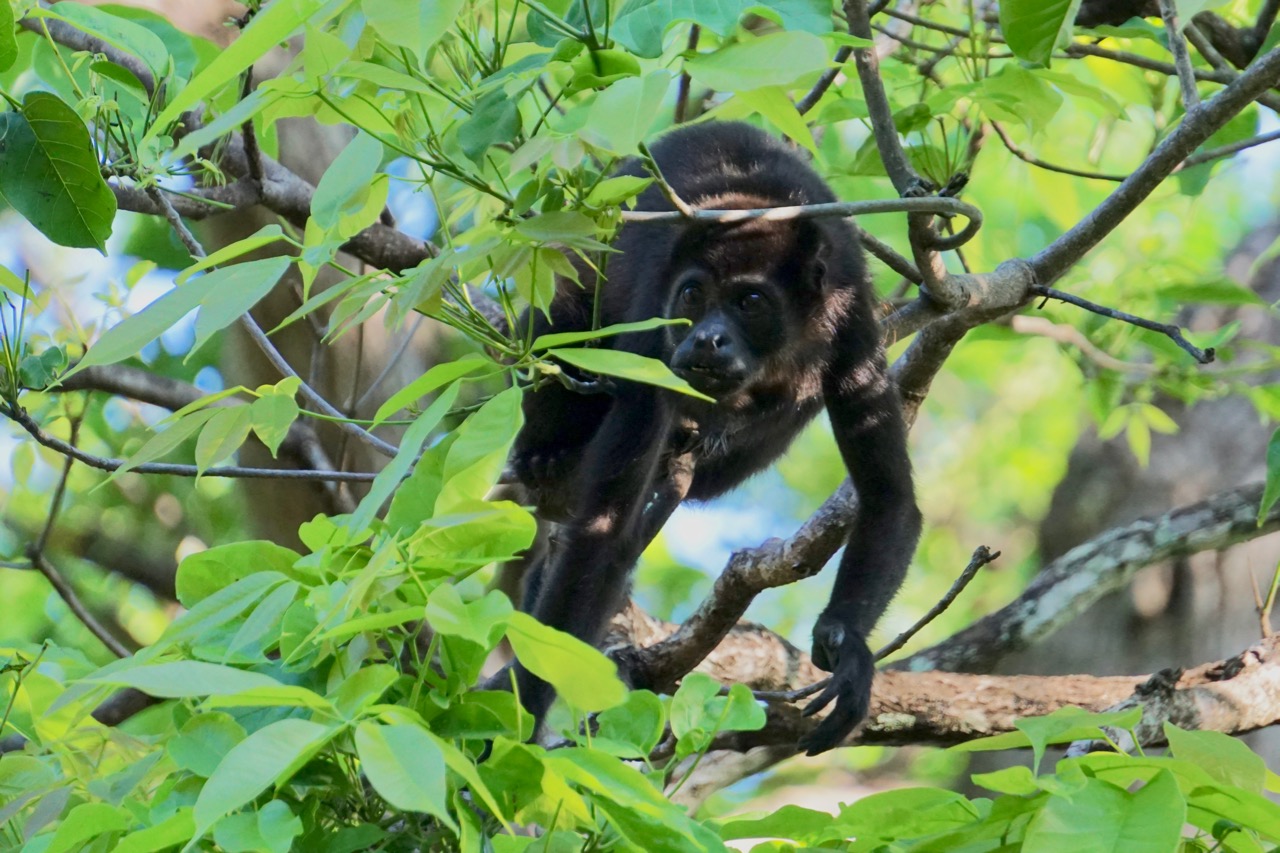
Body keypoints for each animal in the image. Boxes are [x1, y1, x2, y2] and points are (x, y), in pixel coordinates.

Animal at [506, 121, 921, 753]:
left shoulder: (851, 319)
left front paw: (846, 643)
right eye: (692, 296)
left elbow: (889, 497)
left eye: (750, 301)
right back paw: (547, 455)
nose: (705, 339)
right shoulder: (652, 336)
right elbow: (602, 533)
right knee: (563, 319)